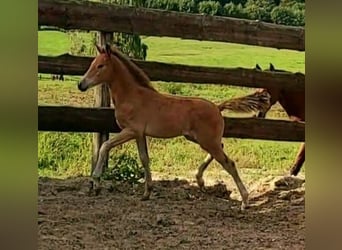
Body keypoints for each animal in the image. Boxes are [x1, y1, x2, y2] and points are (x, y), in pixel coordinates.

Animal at [77, 44, 270, 209]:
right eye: (92, 64)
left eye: (100, 66)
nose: (81, 85)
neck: (132, 96)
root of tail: (217, 107)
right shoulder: (140, 134)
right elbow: (144, 159)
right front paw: (146, 193)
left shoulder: (131, 130)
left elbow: (105, 146)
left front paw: (95, 182)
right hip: (198, 138)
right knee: (221, 149)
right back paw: (200, 180)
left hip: (206, 140)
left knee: (229, 163)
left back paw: (244, 201)